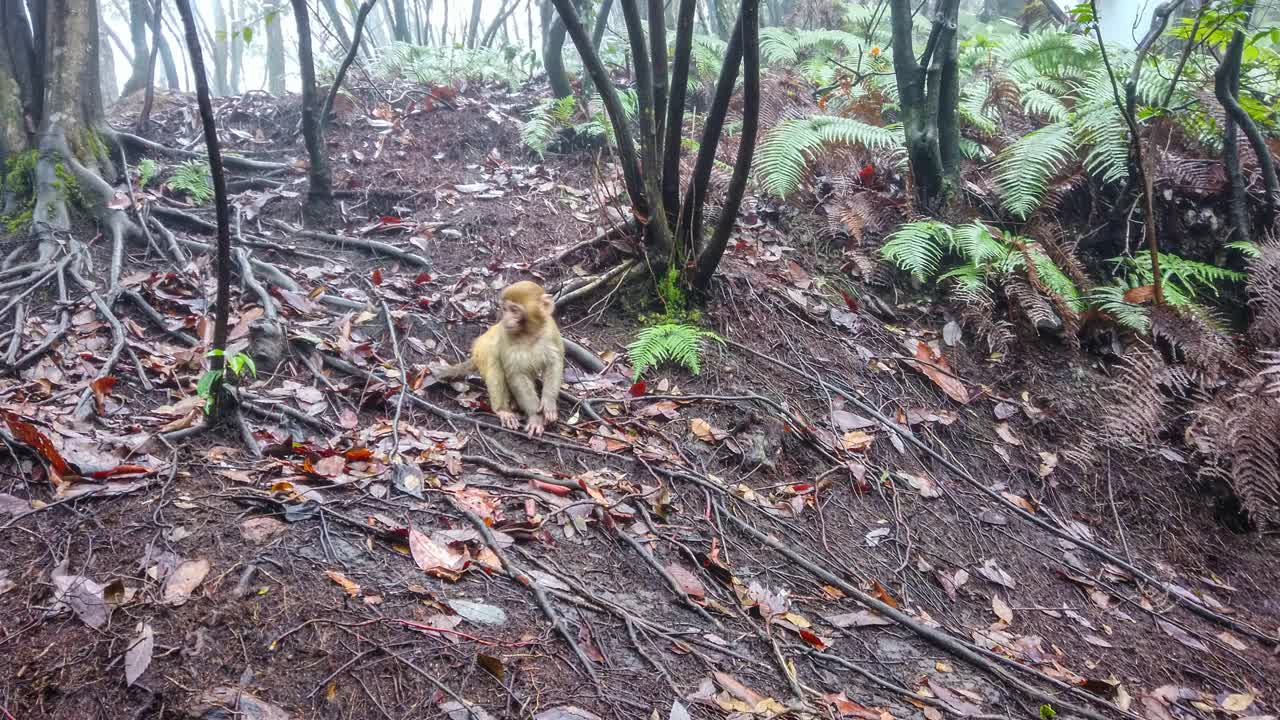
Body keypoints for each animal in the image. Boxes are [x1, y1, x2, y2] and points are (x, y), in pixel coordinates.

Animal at [435, 281, 565, 438]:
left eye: (514, 310)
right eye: (505, 309)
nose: (506, 318)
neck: (529, 334)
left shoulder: (550, 331)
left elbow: (554, 364)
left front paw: (549, 404)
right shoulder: (506, 335)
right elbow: (516, 374)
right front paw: (535, 417)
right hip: (481, 354)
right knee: (494, 361)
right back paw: (502, 409)